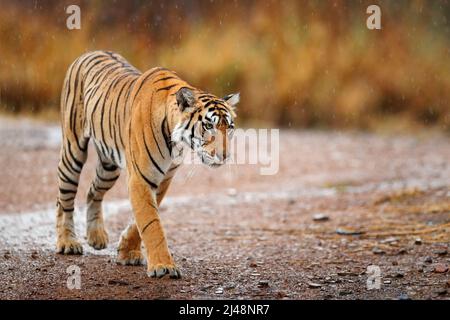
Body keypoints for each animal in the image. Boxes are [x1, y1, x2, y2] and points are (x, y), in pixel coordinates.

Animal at [55, 50, 239, 278]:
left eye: (229, 127)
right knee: (64, 198)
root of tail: (89, 52)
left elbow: (142, 219)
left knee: (93, 192)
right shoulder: (141, 178)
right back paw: (67, 242)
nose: (224, 156)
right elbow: (151, 223)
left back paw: (96, 236)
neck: (176, 140)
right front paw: (163, 267)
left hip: (109, 167)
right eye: (208, 126)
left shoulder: (162, 180)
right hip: (73, 150)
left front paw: (127, 251)